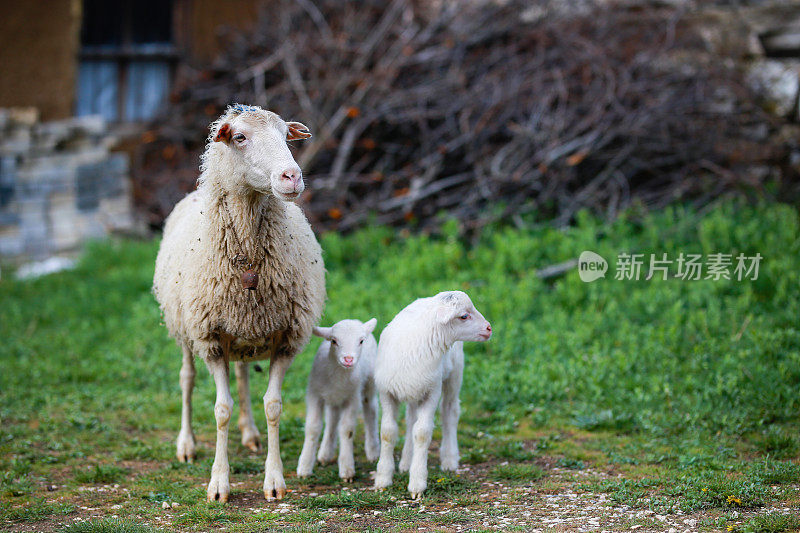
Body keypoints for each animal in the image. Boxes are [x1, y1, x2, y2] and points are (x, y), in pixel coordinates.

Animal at [152, 102, 326, 500]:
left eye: (286, 135)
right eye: (240, 137)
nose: (292, 176)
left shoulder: (287, 338)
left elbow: (273, 406)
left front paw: (274, 480)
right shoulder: (211, 338)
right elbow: (221, 409)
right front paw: (218, 483)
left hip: (247, 331)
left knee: (244, 376)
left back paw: (249, 434)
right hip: (185, 328)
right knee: (186, 379)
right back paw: (187, 444)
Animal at [296, 318, 382, 480]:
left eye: (361, 341)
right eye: (334, 341)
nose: (348, 359)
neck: (338, 376)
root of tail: (356, 319)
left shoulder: (352, 398)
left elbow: (347, 429)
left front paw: (347, 469)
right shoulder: (314, 395)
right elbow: (313, 427)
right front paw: (304, 467)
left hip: (369, 384)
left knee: (371, 411)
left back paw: (373, 451)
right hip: (333, 399)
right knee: (332, 419)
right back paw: (325, 454)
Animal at [372, 288, 490, 496]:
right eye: (464, 316)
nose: (489, 328)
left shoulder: (432, 391)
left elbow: (422, 433)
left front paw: (417, 482)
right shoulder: (387, 392)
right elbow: (388, 432)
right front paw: (383, 479)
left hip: (454, 374)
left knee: (449, 412)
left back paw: (449, 459)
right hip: (414, 388)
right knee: (411, 419)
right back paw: (406, 461)